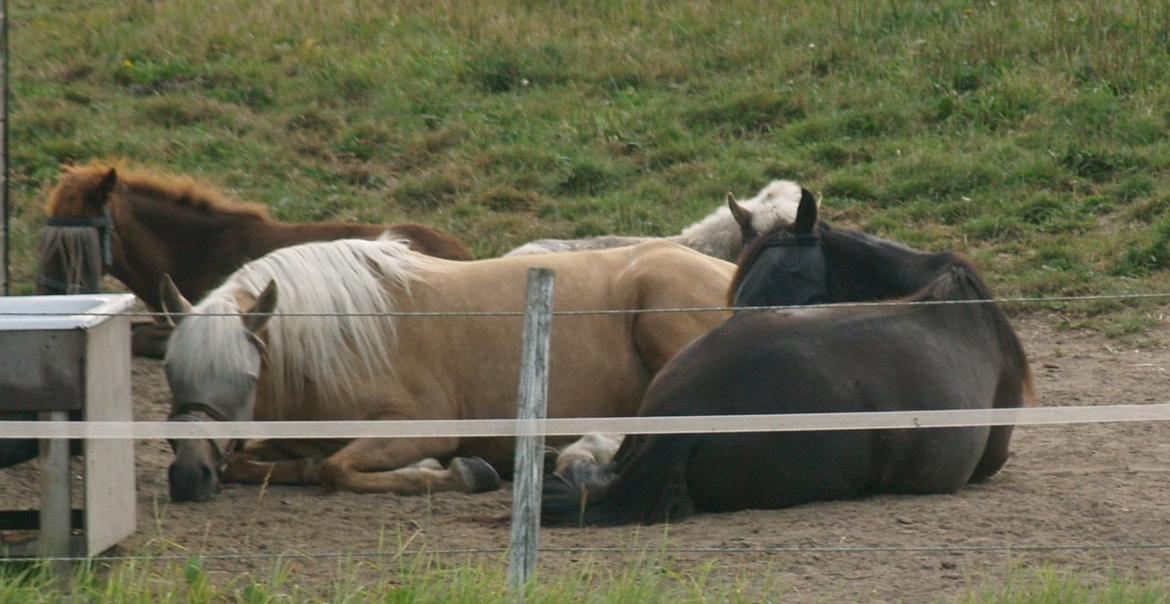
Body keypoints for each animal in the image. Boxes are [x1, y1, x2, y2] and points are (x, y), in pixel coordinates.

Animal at [160, 238, 734, 503]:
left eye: (245, 377)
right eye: (172, 372)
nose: (188, 476)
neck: (343, 338)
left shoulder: (421, 427)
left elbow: (336, 469)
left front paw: (457, 473)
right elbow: (266, 462)